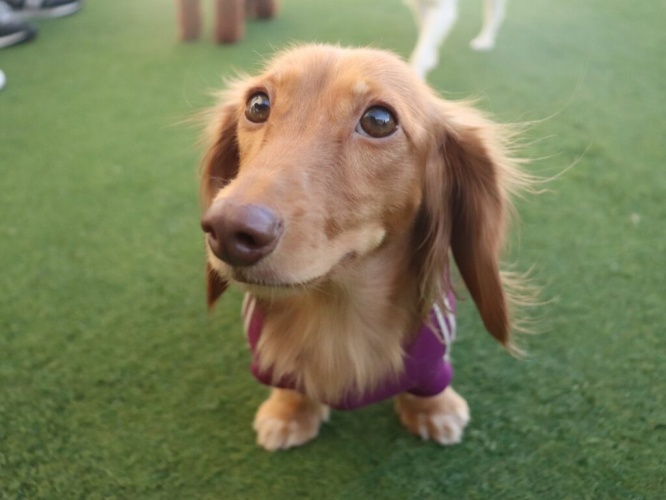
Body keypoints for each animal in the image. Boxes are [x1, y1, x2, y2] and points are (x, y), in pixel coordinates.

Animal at [200, 44, 530, 451]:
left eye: (379, 120)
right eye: (258, 105)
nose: (228, 230)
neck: (336, 312)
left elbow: (431, 382)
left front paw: (434, 409)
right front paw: (289, 410)